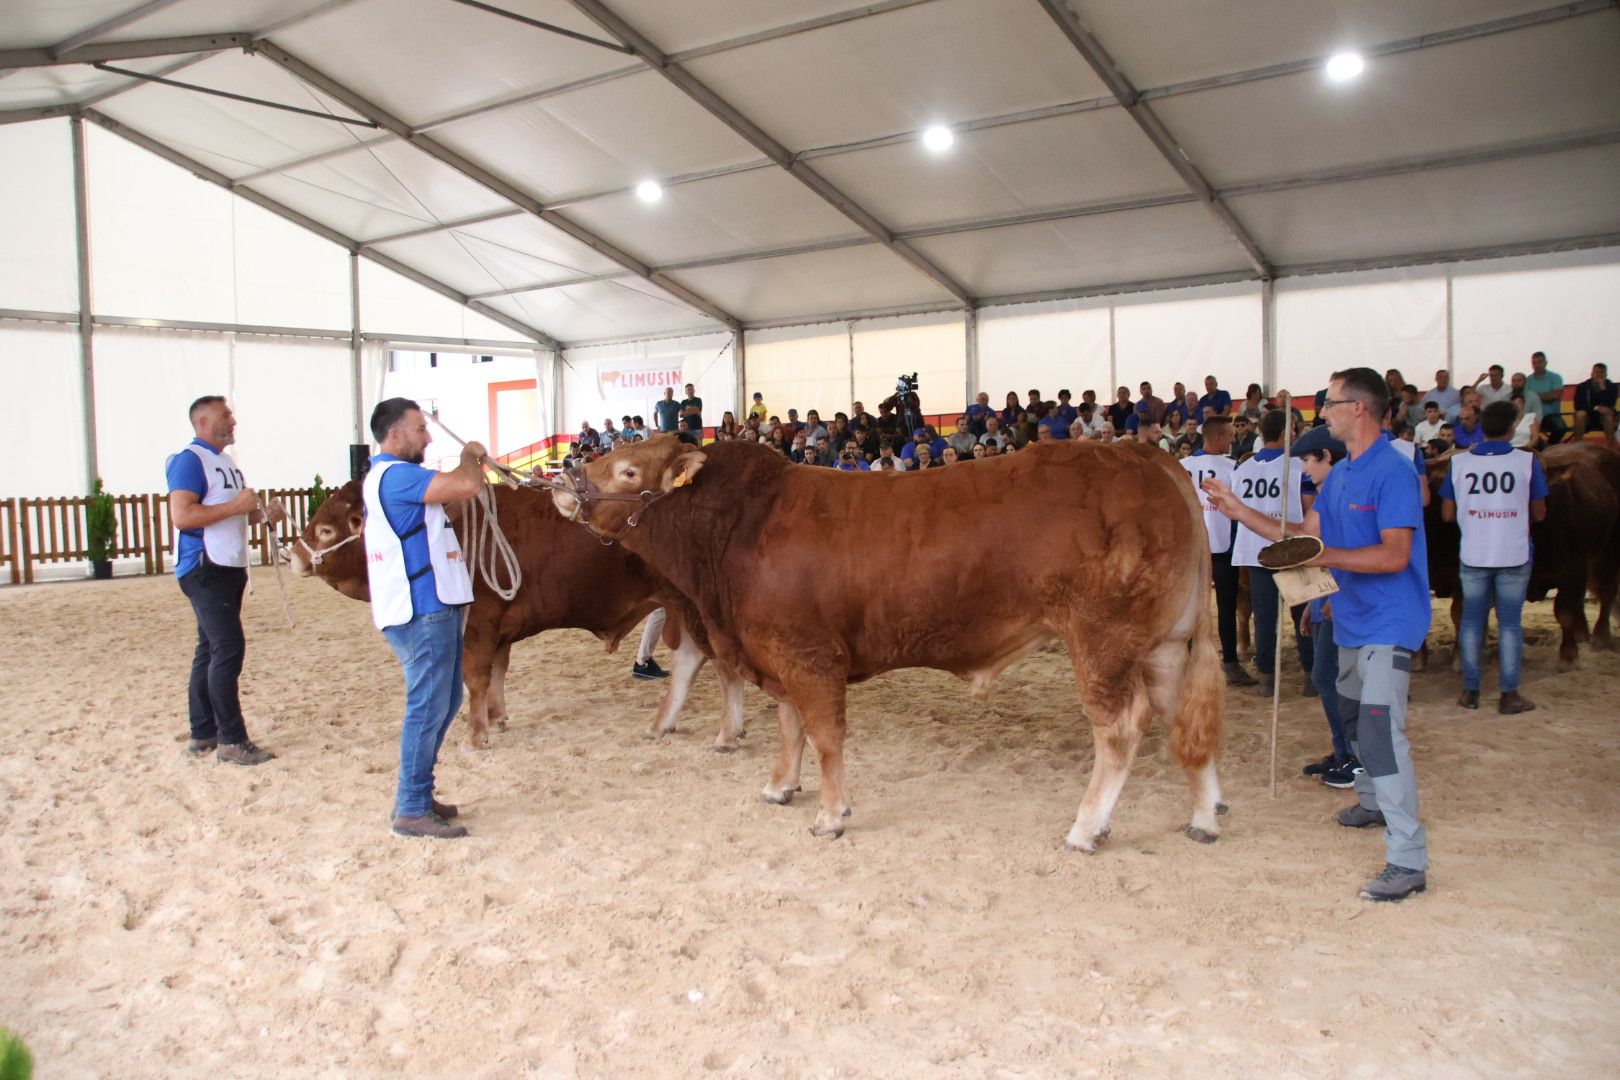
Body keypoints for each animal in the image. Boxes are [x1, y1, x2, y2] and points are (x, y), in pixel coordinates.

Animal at [291, 482, 745, 751]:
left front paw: (476, 734)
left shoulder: (477, 623)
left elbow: (475, 676)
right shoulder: (498, 631)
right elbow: (497, 672)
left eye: (327, 530)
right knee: (691, 659)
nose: (292, 554)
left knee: (721, 664)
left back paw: (727, 731)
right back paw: (662, 724)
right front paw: (497, 717)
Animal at [550, 433, 1218, 848]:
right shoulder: (776, 655)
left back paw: (1086, 828)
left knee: (1122, 728)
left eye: (628, 469)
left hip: (1102, 642)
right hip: (1164, 645)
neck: (737, 530)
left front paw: (830, 815)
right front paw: (779, 787)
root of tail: (1142, 455)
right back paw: (1205, 816)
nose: (560, 479)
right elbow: (790, 726)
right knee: (1182, 721)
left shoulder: (808, 655)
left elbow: (824, 735)